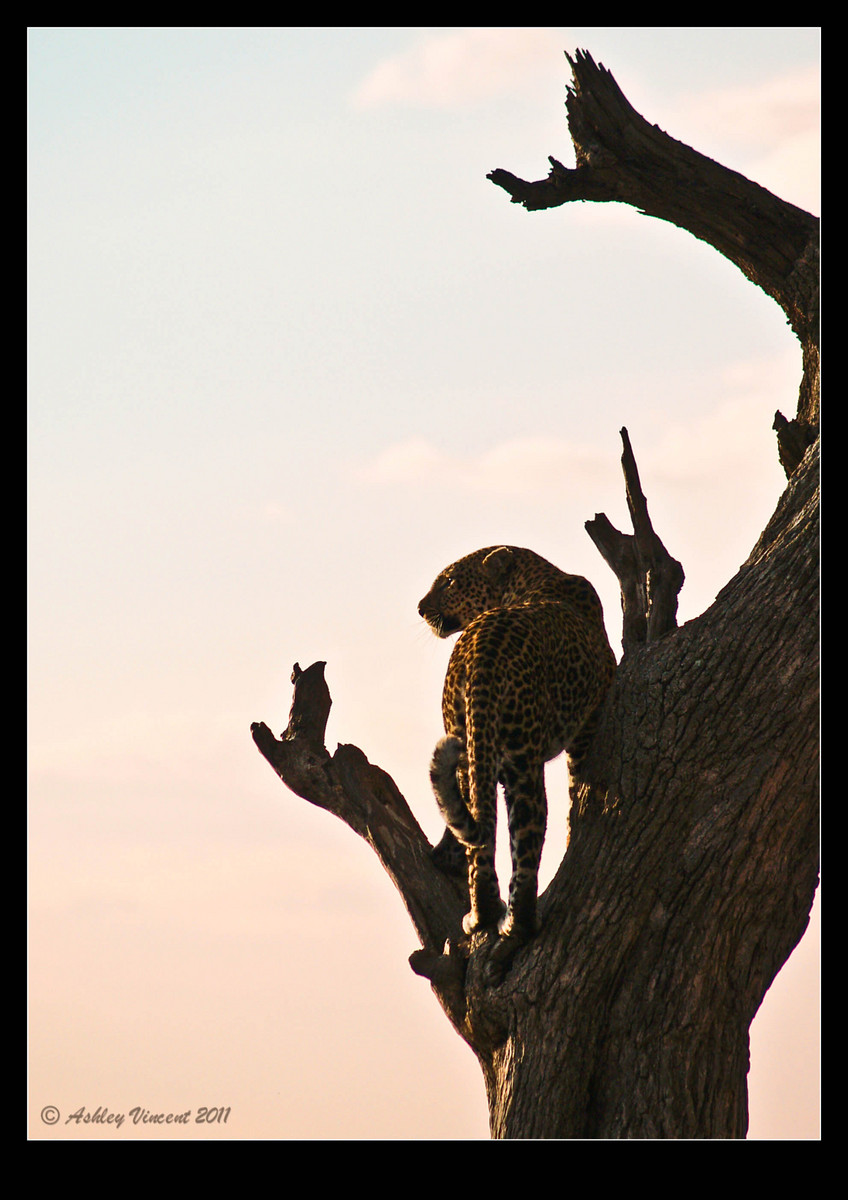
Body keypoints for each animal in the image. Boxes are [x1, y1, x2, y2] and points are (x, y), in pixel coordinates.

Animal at [418, 545, 616, 972]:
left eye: (450, 581)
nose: (421, 608)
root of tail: (482, 649)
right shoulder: (587, 726)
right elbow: (577, 792)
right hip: (523, 763)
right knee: (524, 843)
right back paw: (519, 925)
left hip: (470, 745)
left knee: (481, 835)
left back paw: (483, 914)